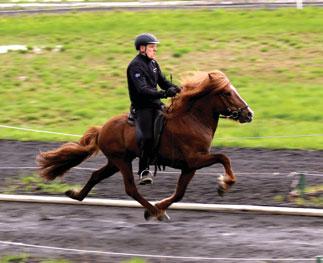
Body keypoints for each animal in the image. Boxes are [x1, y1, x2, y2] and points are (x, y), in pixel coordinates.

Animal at [36, 69, 254, 221]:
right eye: (227, 93)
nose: (249, 114)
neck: (193, 120)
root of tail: (102, 128)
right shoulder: (195, 160)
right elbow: (223, 158)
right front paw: (224, 184)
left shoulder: (189, 167)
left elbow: (179, 193)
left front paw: (162, 205)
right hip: (121, 161)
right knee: (130, 189)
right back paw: (155, 211)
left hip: (116, 161)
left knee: (96, 175)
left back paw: (76, 195)